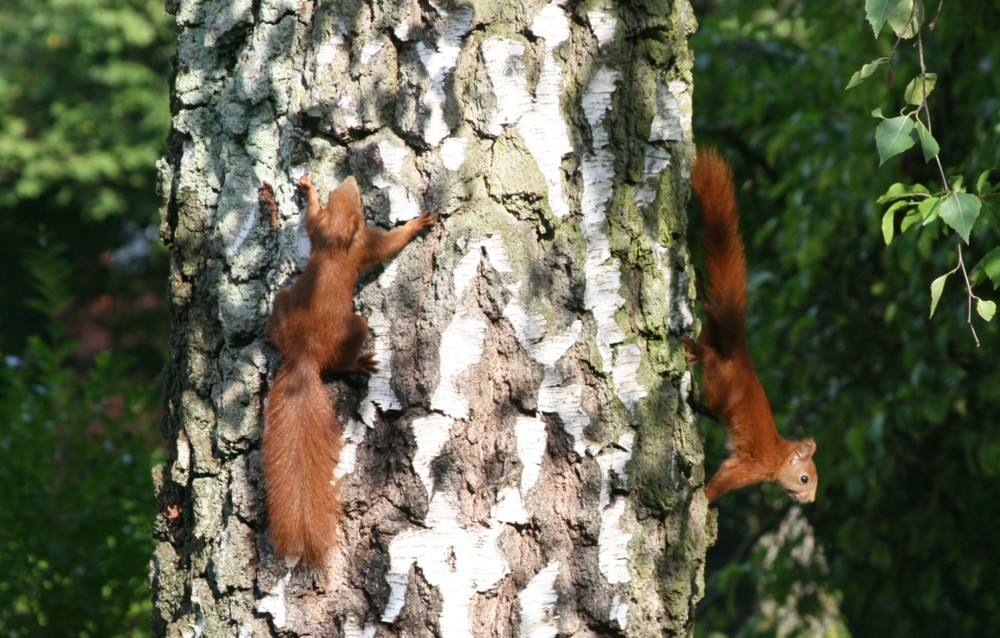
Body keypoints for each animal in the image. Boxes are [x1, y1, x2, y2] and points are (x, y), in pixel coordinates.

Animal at [266, 174, 438, 564]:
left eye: (344, 195)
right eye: (357, 199)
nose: (350, 178)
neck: (337, 236)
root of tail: (305, 355)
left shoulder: (320, 226)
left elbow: (310, 217)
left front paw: (308, 189)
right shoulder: (365, 246)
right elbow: (389, 245)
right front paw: (418, 224)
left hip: (283, 300)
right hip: (356, 327)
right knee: (343, 359)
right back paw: (359, 363)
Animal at [688, 149, 820, 504]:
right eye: (805, 478)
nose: (810, 500)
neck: (779, 456)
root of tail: (740, 357)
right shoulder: (752, 465)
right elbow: (721, 482)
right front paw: (705, 501)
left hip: (714, 338)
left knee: (711, 322)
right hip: (722, 387)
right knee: (710, 360)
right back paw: (696, 354)